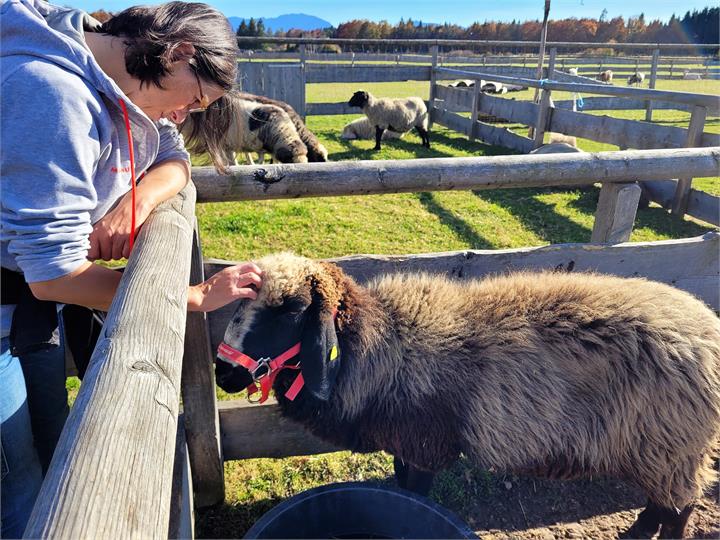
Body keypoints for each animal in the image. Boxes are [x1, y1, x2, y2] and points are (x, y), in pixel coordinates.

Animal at [216, 252, 720, 539]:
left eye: (291, 311)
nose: (222, 371)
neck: (381, 343)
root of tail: (708, 329)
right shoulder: (404, 444)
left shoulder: (423, 444)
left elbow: (413, 495)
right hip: (657, 449)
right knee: (662, 500)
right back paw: (638, 532)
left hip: (672, 445)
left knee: (681, 506)